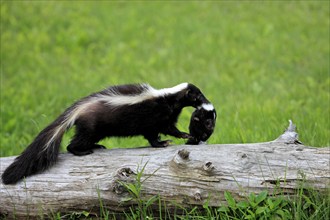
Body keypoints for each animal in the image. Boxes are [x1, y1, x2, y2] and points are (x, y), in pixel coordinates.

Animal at [1, 82, 209, 184]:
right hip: (91, 126)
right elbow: (156, 133)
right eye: (197, 95)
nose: (205, 101)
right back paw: (83, 151)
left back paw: (97, 146)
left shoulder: (165, 115)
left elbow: (159, 131)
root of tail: (78, 109)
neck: (168, 98)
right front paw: (171, 140)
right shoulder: (155, 115)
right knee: (73, 143)